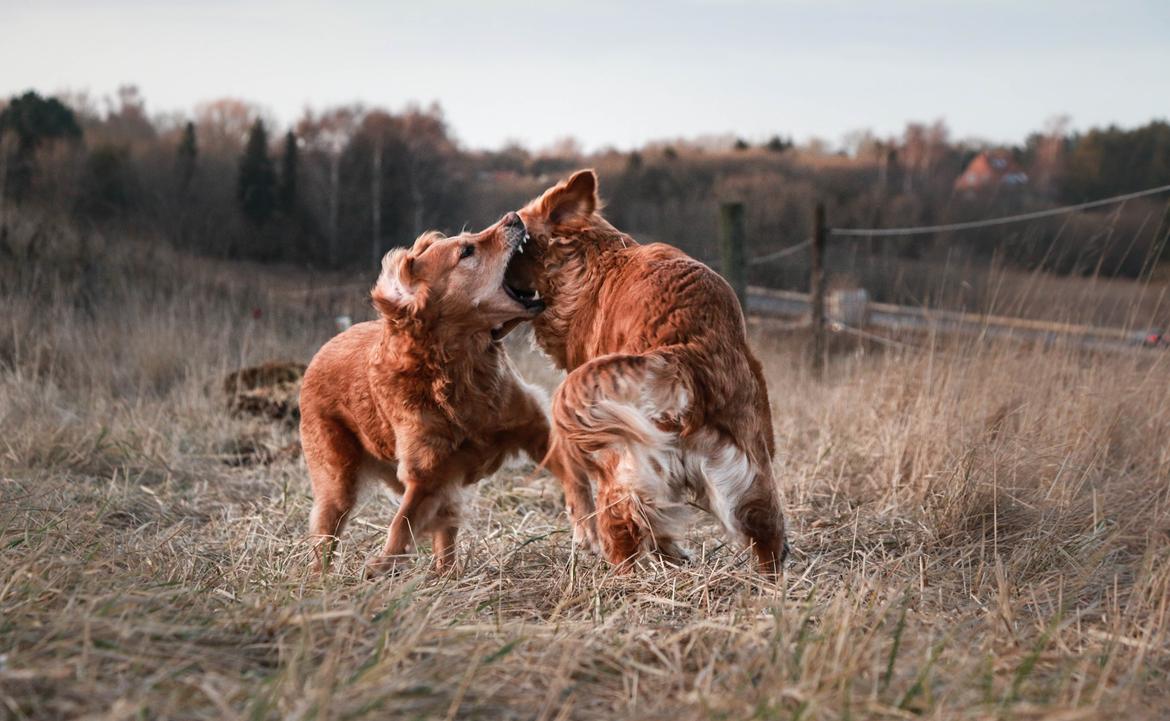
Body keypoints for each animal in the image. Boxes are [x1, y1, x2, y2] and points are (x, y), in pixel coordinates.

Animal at [306, 210, 552, 578]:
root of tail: (324, 347)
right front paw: (381, 565)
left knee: (444, 530)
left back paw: (446, 573)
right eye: (466, 251)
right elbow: (401, 523)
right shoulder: (426, 472)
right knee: (325, 530)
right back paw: (318, 575)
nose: (514, 216)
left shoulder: (534, 426)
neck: (459, 367)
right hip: (337, 482)